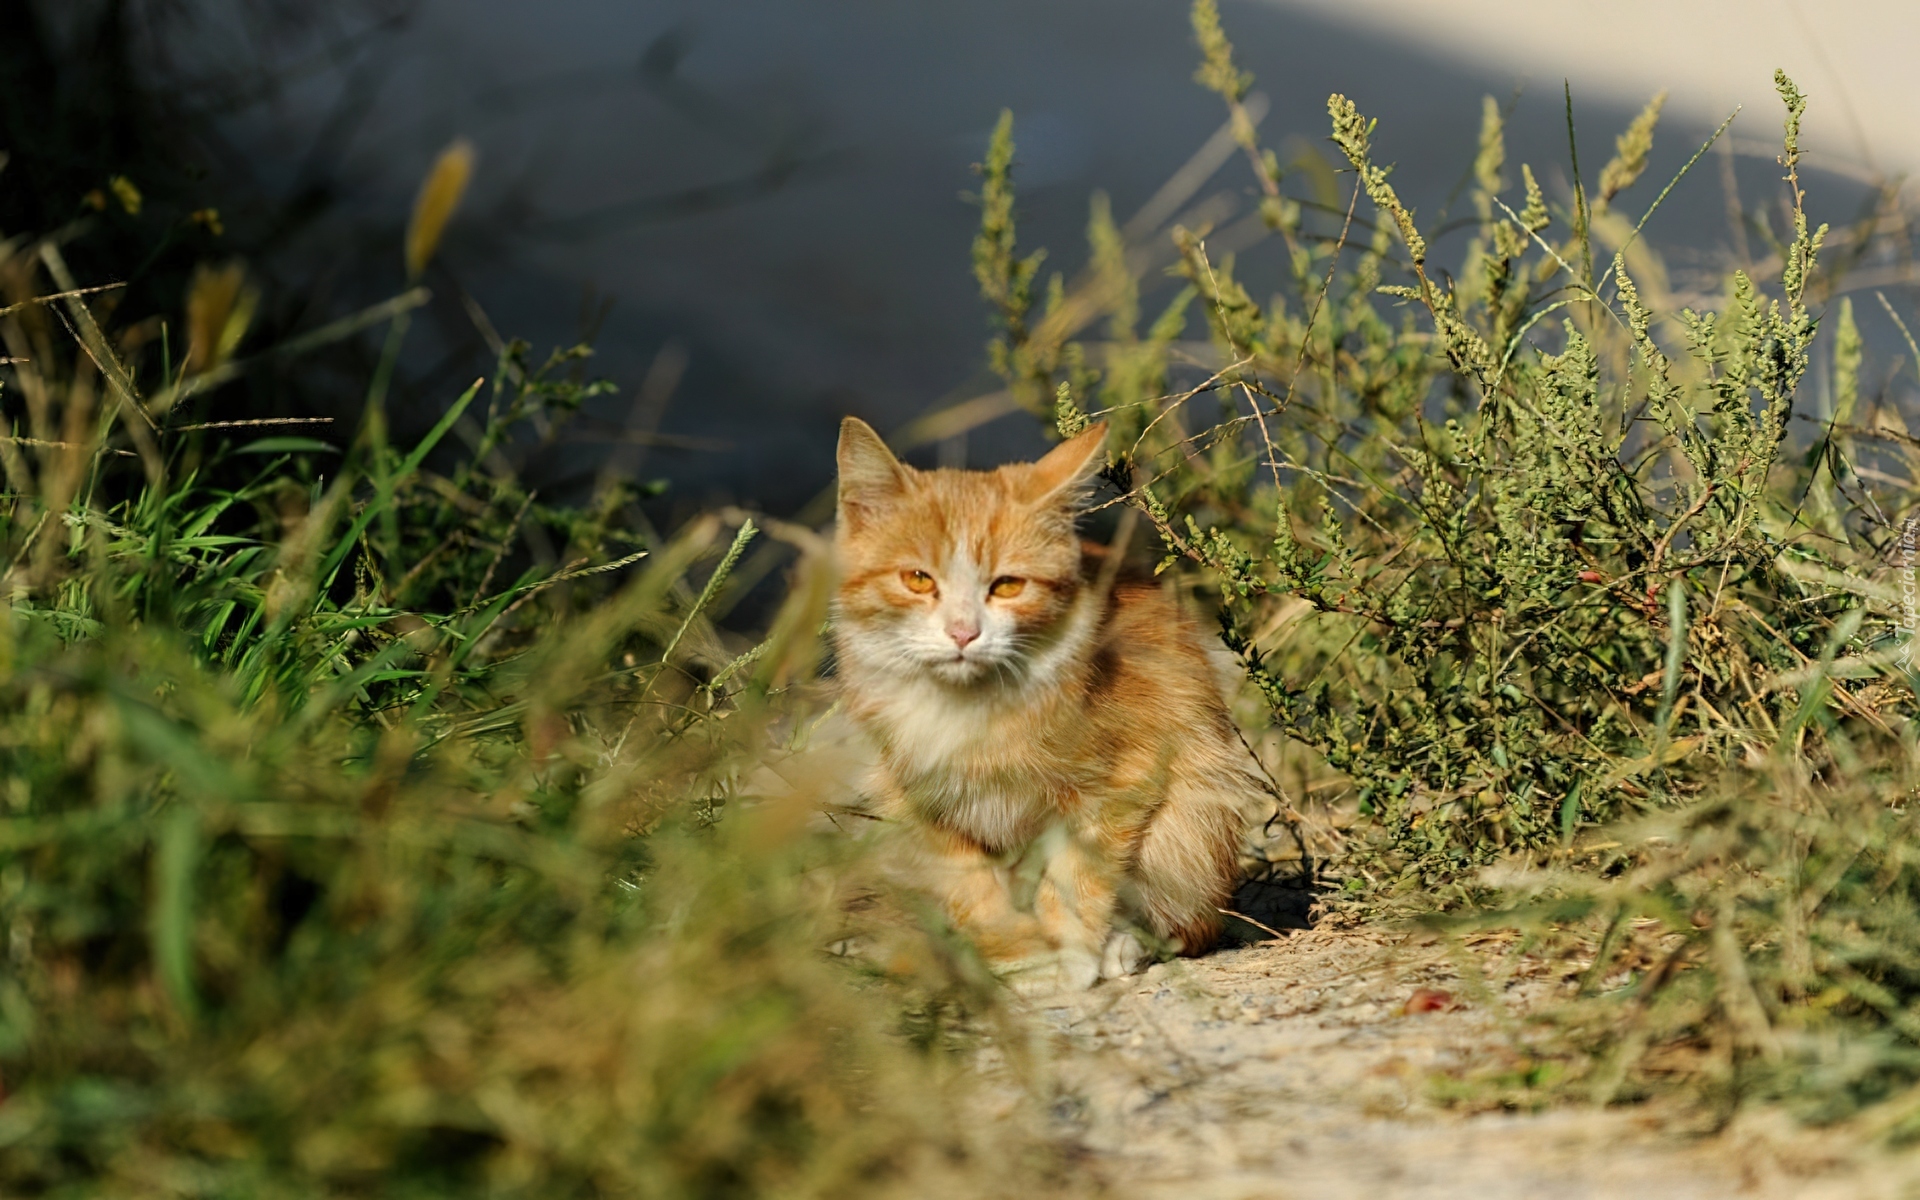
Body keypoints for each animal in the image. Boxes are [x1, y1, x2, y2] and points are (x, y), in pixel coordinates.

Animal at [829, 416, 1251, 998]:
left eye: (1008, 586)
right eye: (917, 579)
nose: (963, 633)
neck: (969, 710)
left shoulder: (1126, 775)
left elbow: (1076, 874)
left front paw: (1071, 954)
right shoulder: (919, 797)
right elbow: (971, 887)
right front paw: (1013, 951)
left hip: (1195, 818)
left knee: (1190, 919)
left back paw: (1126, 945)